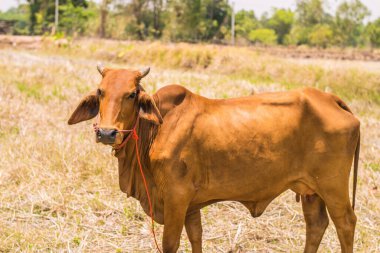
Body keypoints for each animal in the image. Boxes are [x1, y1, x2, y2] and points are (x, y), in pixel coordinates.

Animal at [67, 66, 360, 252]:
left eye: (131, 94)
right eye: (101, 91)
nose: (107, 133)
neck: (157, 129)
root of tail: (330, 98)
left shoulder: (176, 198)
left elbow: (171, 243)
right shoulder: (191, 204)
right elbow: (196, 236)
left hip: (333, 187)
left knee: (345, 223)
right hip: (310, 191)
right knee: (316, 225)